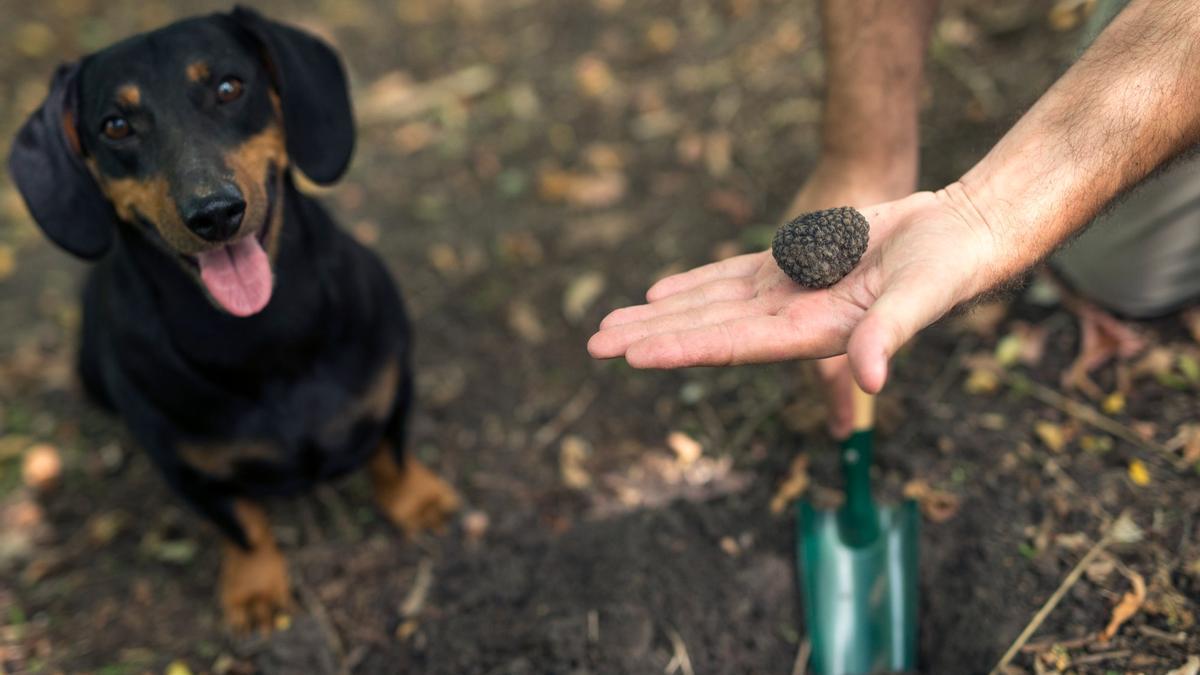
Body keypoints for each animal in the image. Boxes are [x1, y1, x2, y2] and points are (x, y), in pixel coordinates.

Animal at [8, 6, 458, 629]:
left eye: (228, 88)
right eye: (116, 126)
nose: (216, 213)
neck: (263, 337)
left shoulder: (395, 387)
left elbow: (392, 456)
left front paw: (420, 502)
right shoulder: (189, 472)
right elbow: (242, 527)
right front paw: (255, 589)